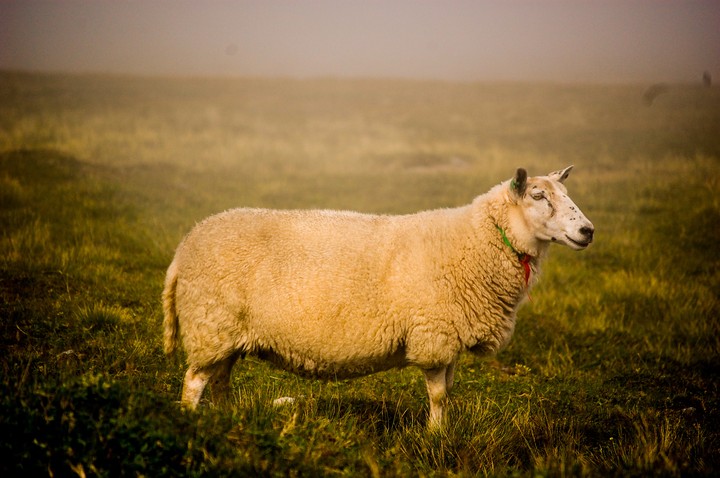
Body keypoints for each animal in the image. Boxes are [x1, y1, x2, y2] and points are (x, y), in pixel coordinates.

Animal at [163, 166, 594, 428]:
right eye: (538, 196)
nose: (588, 231)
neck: (477, 241)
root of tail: (185, 246)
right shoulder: (432, 334)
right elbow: (438, 394)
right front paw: (434, 437)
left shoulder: (449, 337)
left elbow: (449, 390)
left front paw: (443, 432)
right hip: (210, 323)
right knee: (194, 382)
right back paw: (191, 421)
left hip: (225, 333)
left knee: (220, 380)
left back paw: (226, 419)